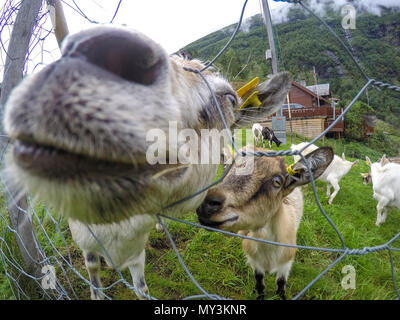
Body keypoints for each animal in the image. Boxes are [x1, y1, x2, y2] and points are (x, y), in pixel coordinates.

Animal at [195, 146, 332, 298]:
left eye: (277, 181)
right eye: (225, 165)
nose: (207, 205)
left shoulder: (286, 263)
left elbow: (281, 283)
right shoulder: (255, 262)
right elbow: (259, 281)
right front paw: (260, 295)